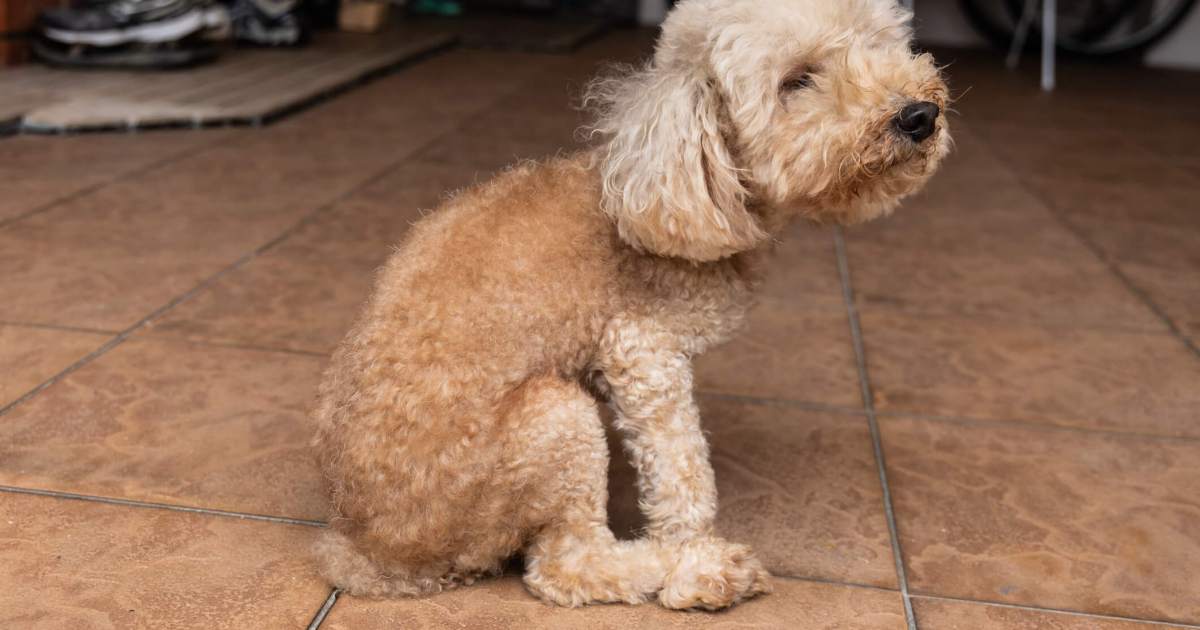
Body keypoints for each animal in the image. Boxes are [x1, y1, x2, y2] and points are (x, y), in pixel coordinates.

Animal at [314, 0, 950, 609]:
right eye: (796, 80)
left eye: (882, 44)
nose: (920, 115)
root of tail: (363, 551)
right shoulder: (643, 355)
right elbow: (682, 471)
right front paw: (689, 541)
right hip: (557, 420)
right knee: (566, 565)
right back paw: (699, 572)